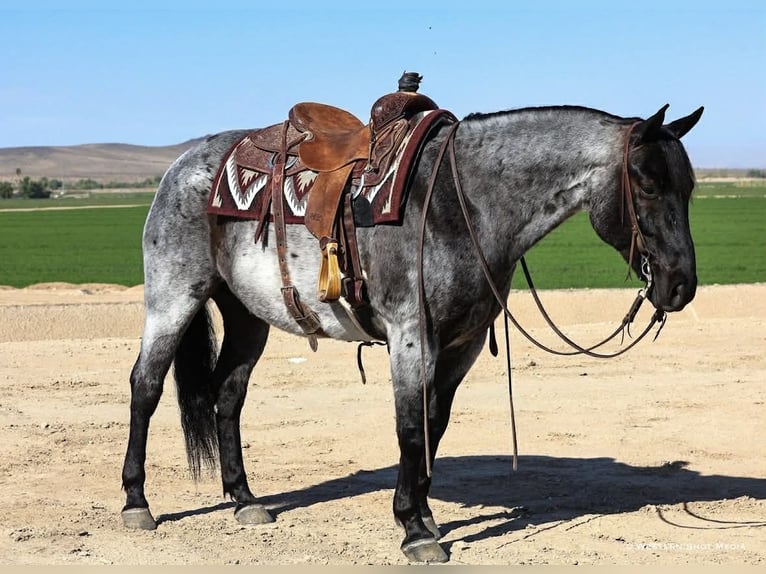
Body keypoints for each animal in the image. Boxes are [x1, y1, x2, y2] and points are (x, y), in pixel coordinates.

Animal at [120, 101, 703, 563]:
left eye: (689, 187)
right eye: (647, 183)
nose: (681, 285)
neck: (460, 202)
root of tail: (181, 165)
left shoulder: (462, 345)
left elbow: (433, 424)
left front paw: (424, 516)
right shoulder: (411, 337)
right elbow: (408, 426)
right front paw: (414, 530)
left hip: (246, 316)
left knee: (228, 394)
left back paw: (244, 500)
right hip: (173, 298)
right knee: (145, 386)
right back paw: (136, 502)